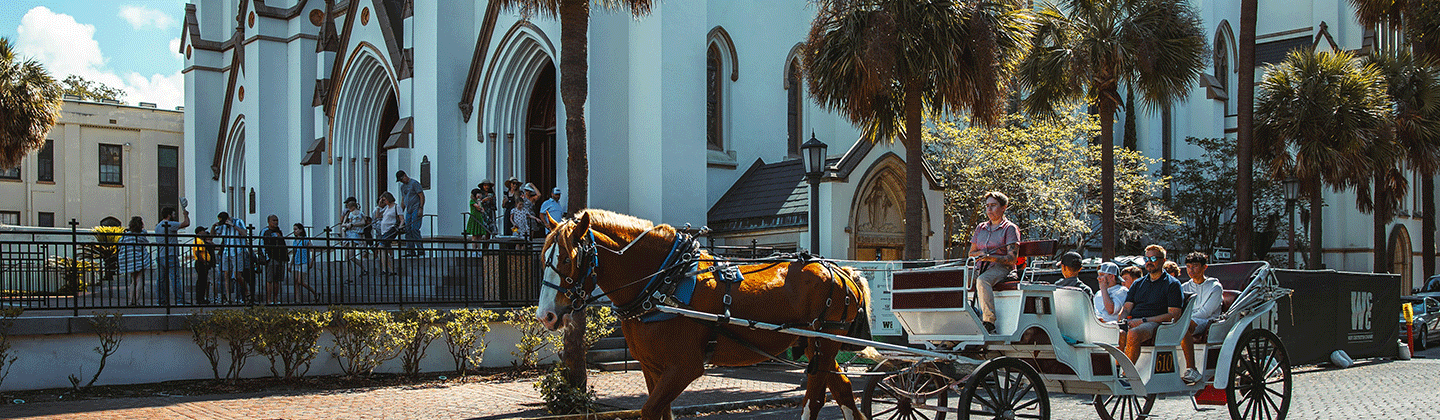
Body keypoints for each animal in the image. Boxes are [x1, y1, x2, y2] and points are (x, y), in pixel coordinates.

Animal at [536, 209, 872, 420]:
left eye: (567, 259)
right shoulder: (652, 367)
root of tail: (842, 271)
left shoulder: (684, 367)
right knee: (843, 390)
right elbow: (662, 412)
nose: (546, 315)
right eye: (543, 257)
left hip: (825, 342)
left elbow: (650, 411)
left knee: (814, 401)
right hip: (821, 348)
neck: (661, 281)